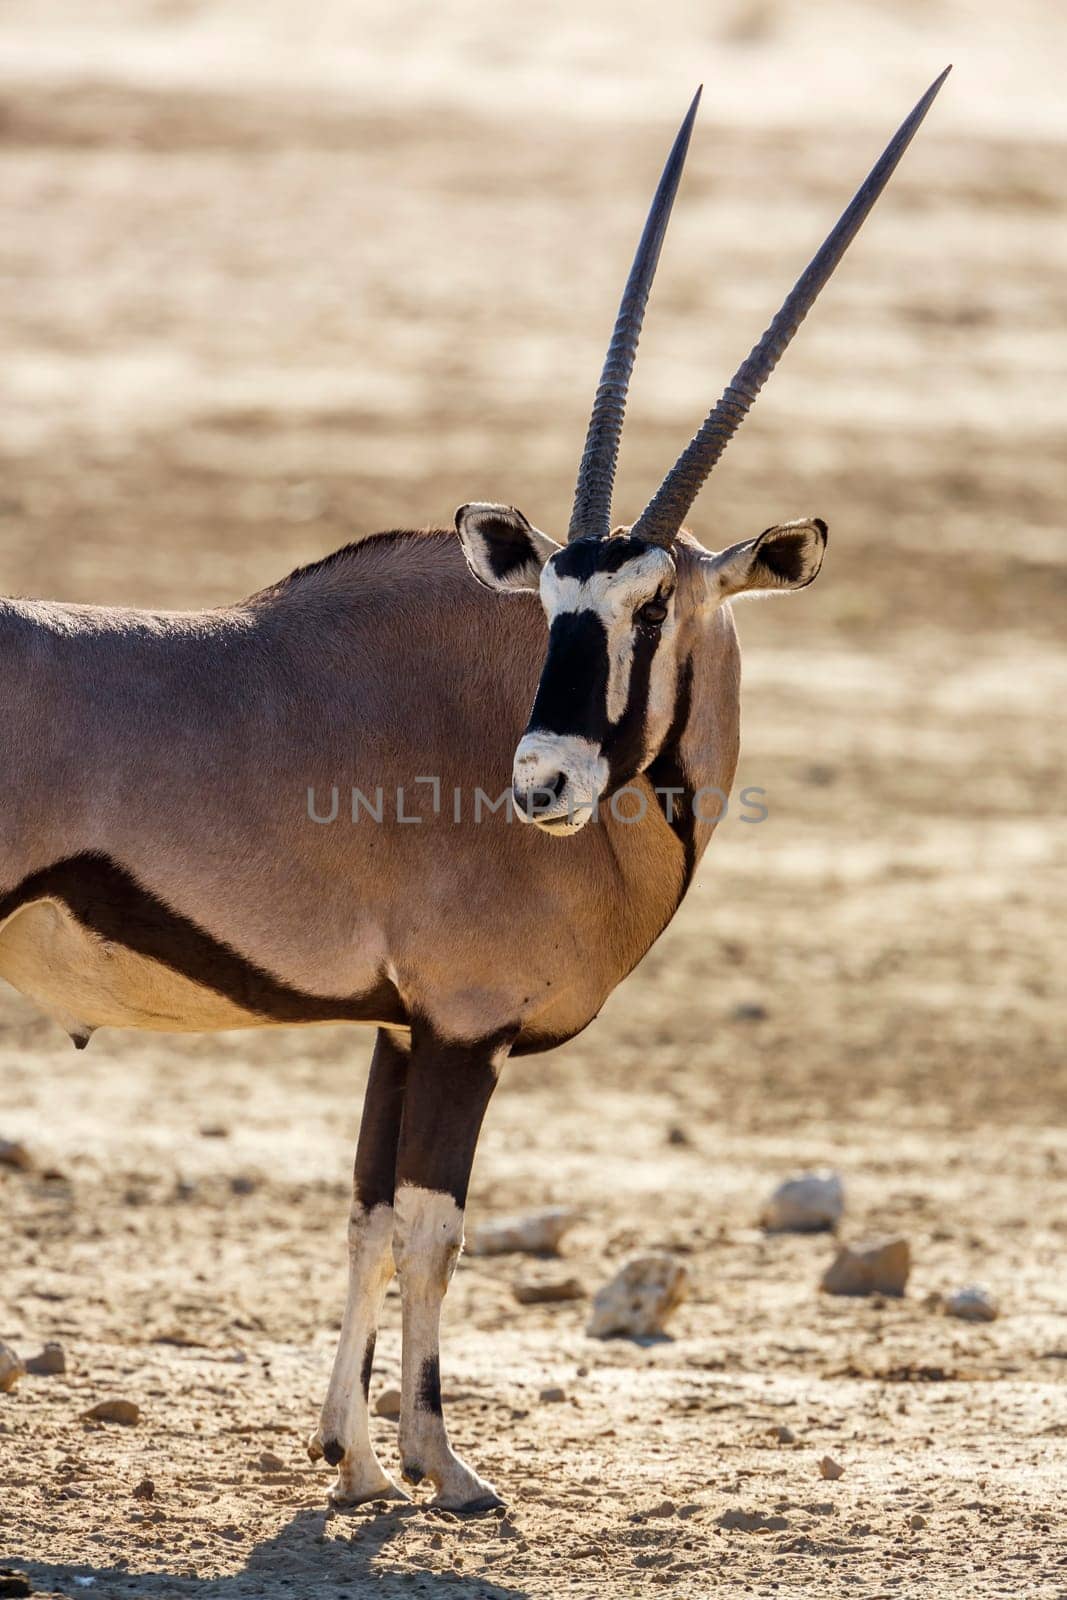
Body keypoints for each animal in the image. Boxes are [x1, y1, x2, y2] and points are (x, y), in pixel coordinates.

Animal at [0, 68, 953, 1504]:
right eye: (552, 600)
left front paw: (345, 1456)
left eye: (649, 605)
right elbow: (432, 1230)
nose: (542, 778)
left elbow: (364, 1216)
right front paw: (437, 1465)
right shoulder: (463, 1029)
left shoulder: (402, 1030)